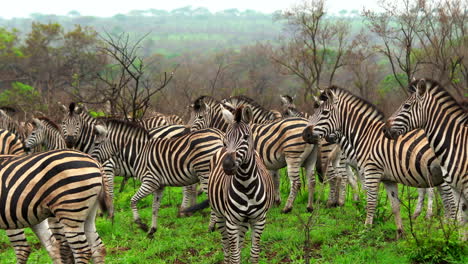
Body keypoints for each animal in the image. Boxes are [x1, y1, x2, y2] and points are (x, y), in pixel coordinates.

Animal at [91, 118, 223, 238]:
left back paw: (211, 227)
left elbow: (132, 200)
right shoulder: (159, 185)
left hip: (205, 174)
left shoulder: (150, 181)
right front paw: (152, 230)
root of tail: (220, 135)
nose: (93, 161)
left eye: (96, 144)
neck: (139, 153)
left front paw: (141, 225)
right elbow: (155, 207)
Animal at [190, 96, 318, 213]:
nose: (190, 131)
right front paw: (275, 201)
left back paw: (287, 208)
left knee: (296, 182)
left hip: (293, 157)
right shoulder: (271, 163)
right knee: (311, 181)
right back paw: (310, 207)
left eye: (200, 117)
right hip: (311, 158)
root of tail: (307, 125)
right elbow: (275, 180)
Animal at [208, 105, 274, 264]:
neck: (246, 185)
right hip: (219, 215)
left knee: (238, 243)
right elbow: (234, 255)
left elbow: (254, 253)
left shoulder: (259, 220)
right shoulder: (231, 222)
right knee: (226, 246)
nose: (227, 165)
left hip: (243, 222)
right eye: (225, 140)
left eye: (245, 137)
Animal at [302, 86, 456, 237]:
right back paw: (444, 228)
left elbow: (370, 201)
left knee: (450, 201)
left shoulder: (371, 172)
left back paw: (450, 230)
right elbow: (394, 206)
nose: (305, 134)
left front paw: (366, 229)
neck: (365, 135)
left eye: (324, 112)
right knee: (444, 200)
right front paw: (400, 233)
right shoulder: (385, 178)